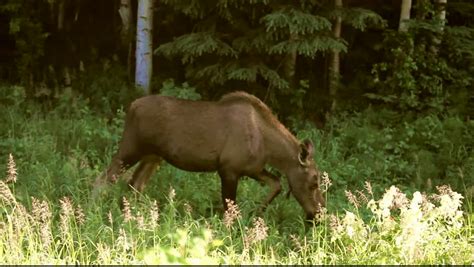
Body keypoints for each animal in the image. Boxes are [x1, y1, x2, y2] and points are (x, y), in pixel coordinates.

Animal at [90, 91, 324, 221]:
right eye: (313, 182)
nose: (319, 213)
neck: (269, 148)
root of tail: (131, 106)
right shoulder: (228, 169)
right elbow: (230, 208)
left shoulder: (253, 168)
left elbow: (276, 184)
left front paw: (256, 213)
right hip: (131, 148)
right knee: (103, 179)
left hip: (153, 156)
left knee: (135, 184)